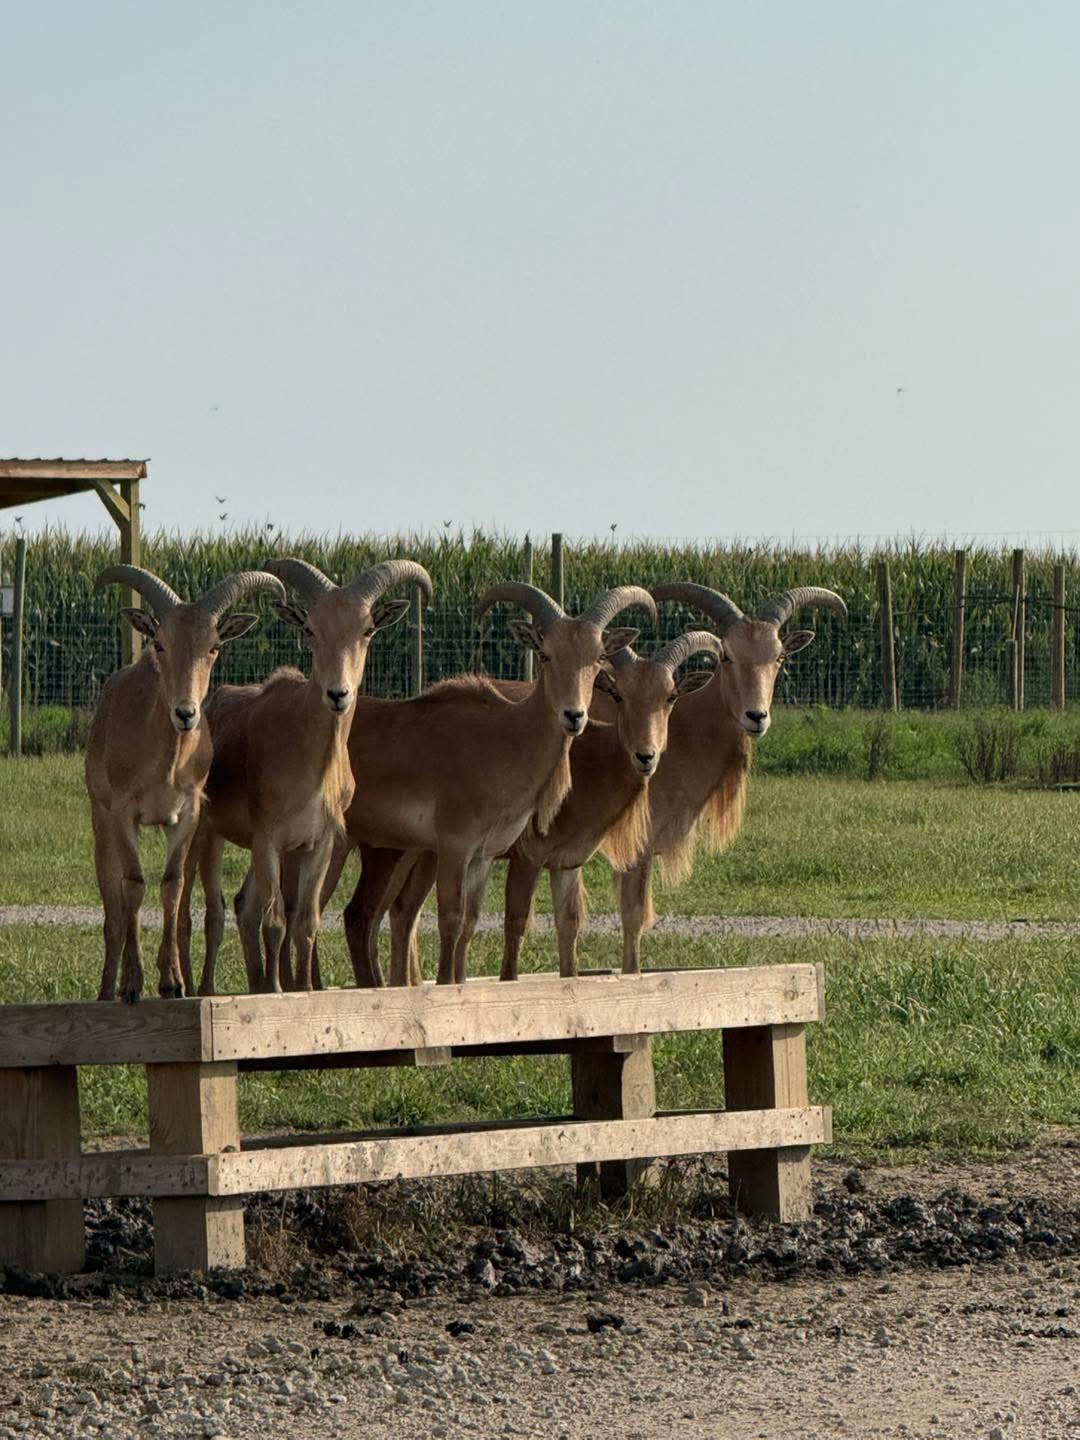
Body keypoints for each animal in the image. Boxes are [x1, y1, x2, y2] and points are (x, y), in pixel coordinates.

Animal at [85, 565, 286, 1003]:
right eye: (160, 643)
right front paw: (132, 983)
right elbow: (132, 886)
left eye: (214, 646)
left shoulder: (187, 814)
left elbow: (172, 885)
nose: (186, 713)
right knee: (112, 905)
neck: (165, 762)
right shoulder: (124, 813)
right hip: (99, 816)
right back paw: (107, 988)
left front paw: (172, 982)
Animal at [187, 557, 433, 996]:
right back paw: (206, 989)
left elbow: (305, 921)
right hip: (208, 834)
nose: (338, 694)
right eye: (311, 629)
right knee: (210, 911)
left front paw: (302, 988)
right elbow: (275, 922)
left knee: (244, 905)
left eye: (367, 630)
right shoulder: (268, 839)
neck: (313, 767)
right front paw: (279, 991)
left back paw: (255, 983)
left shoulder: (318, 843)